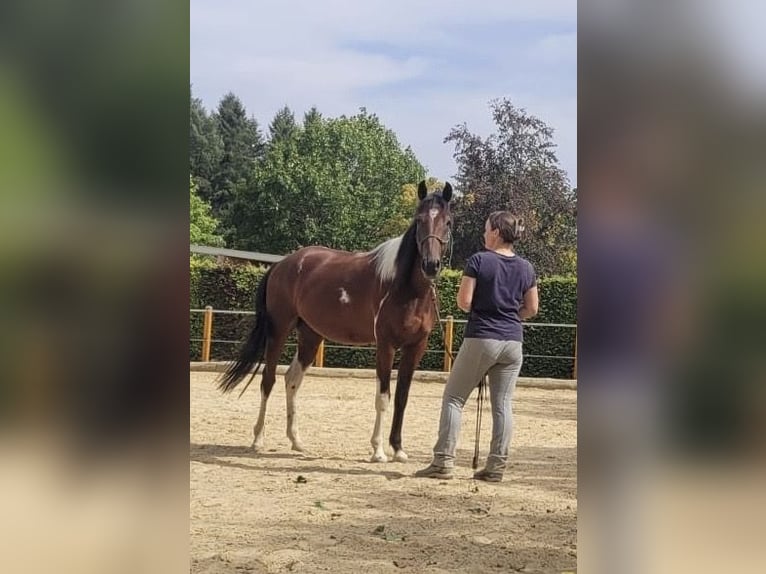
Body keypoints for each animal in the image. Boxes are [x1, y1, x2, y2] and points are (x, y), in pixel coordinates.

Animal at [218, 180, 453, 462]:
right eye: (419, 220)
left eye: (448, 222)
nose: (431, 265)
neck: (405, 289)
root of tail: (281, 264)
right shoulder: (385, 345)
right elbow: (383, 397)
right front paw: (378, 451)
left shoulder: (415, 347)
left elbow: (401, 398)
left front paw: (398, 449)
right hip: (278, 331)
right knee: (268, 379)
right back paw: (258, 440)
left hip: (310, 336)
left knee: (292, 380)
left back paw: (296, 441)